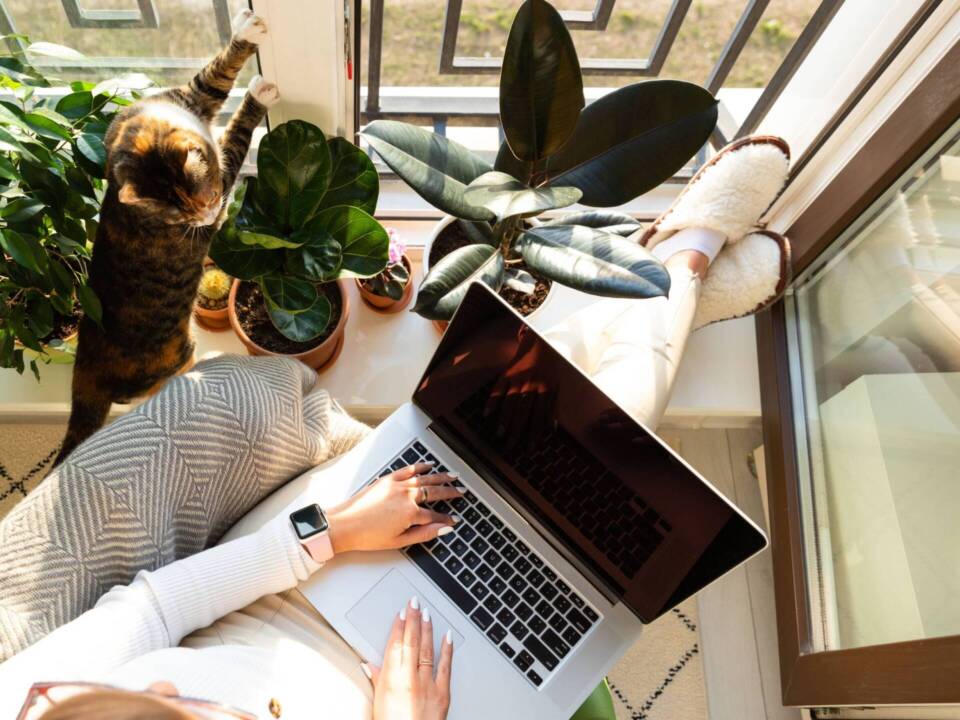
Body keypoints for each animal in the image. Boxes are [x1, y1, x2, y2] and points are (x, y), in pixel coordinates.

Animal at [53, 9, 280, 466]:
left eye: (201, 199)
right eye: (181, 213)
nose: (208, 213)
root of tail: (84, 374)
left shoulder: (191, 96)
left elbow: (216, 72)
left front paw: (246, 32)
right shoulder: (224, 177)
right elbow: (235, 136)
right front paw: (259, 94)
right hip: (175, 352)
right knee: (157, 386)